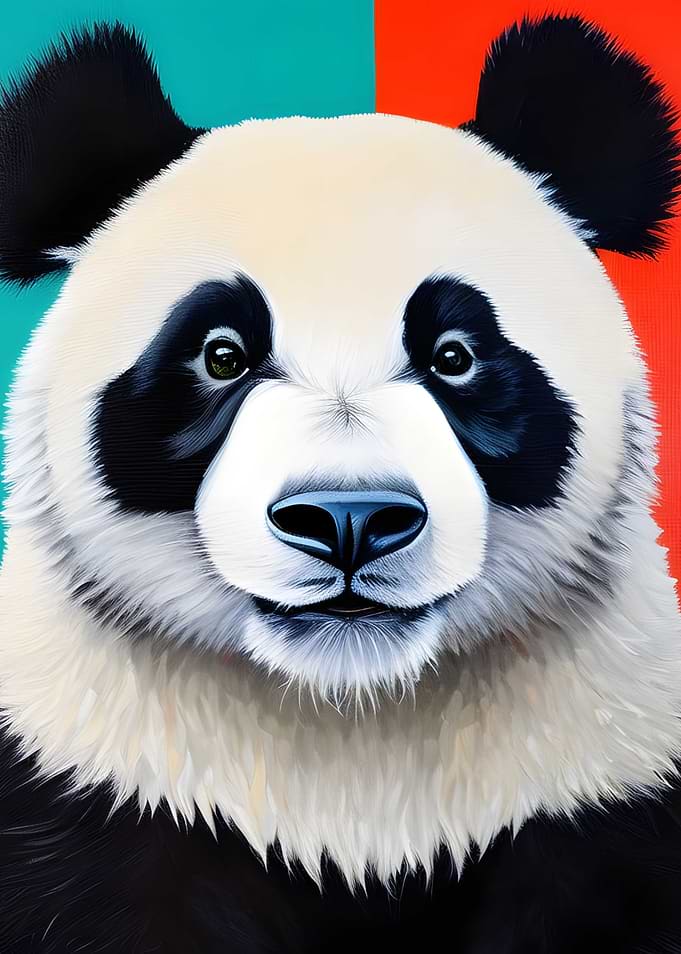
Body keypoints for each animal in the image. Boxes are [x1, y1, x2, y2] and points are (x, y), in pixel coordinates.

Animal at [0, 11, 680, 953]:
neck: (348, 730)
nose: (349, 519)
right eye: (221, 354)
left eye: (454, 355)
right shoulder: (92, 788)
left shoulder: (598, 793)